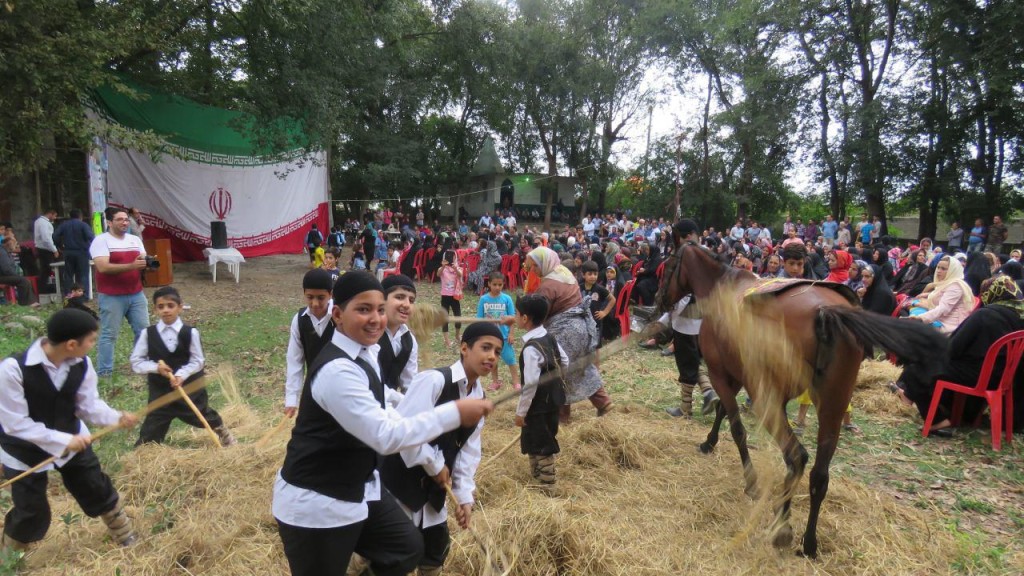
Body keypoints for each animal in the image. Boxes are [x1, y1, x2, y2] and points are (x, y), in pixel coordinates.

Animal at [659, 241, 946, 557]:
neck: (725, 287)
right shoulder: (736, 376)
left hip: (769, 401)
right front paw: (709, 442)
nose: (661, 300)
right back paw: (809, 542)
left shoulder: (721, 373)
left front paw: (750, 482)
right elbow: (724, 409)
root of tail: (826, 311)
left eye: (667, 265)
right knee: (819, 473)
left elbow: (736, 428)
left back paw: (783, 527)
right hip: (833, 403)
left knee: (796, 456)